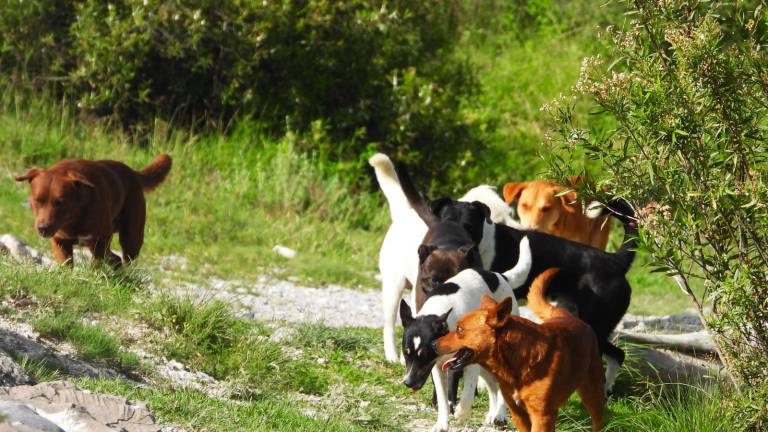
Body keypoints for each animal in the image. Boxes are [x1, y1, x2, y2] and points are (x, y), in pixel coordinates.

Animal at [16, 152, 174, 266]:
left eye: (60, 202)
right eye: (37, 200)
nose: (43, 228)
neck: (74, 217)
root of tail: (133, 173)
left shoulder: (101, 239)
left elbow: (96, 264)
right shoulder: (60, 241)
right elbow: (66, 264)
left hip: (131, 235)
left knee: (127, 260)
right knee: (115, 259)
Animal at [400, 236, 532, 432]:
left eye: (424, 355)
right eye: (406, 353)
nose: (407, 383)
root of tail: (499, 276)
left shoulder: (469, 364)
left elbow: (468, 392)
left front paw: (461, 413)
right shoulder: (437, 368)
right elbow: (442, 399)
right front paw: (442, 423)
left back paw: (500, 414)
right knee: (493, 386)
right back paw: (493, 413)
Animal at [438, 268, 608, 430]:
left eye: (459, 329)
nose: (434, 344)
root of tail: (567, 316)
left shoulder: (541, 416)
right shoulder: (518, 413)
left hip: (593, 397)